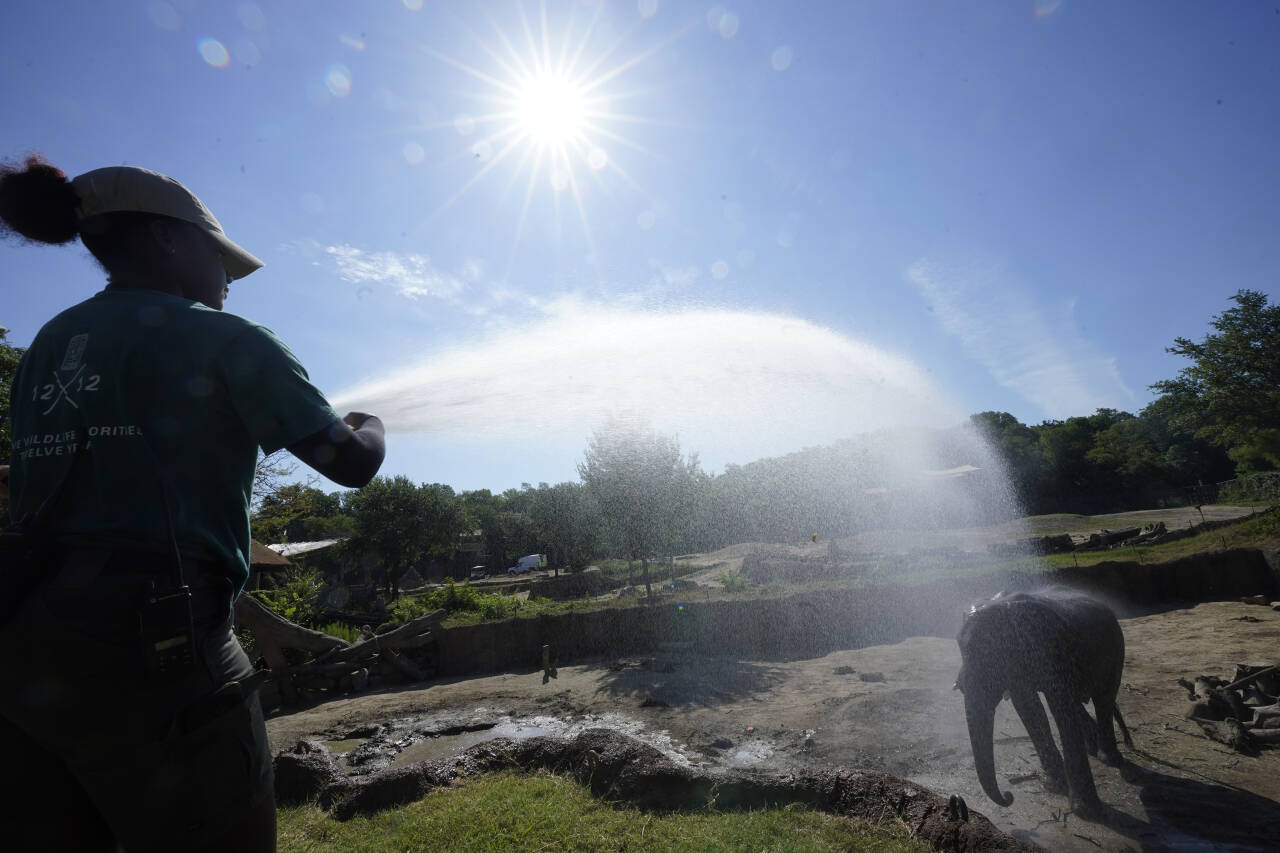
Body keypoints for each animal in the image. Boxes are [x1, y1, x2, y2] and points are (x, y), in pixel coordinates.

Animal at [952, 589, 1131, 814]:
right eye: (961, 649)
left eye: (994, 654)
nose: (1008, 796)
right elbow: (1029, 708)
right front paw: (1054, 785)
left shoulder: (1054, 654)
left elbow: (1060, 708)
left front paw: (1085, 811)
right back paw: (1093, 747)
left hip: (1115, 650)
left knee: (1103, 699)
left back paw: (1110, 759)